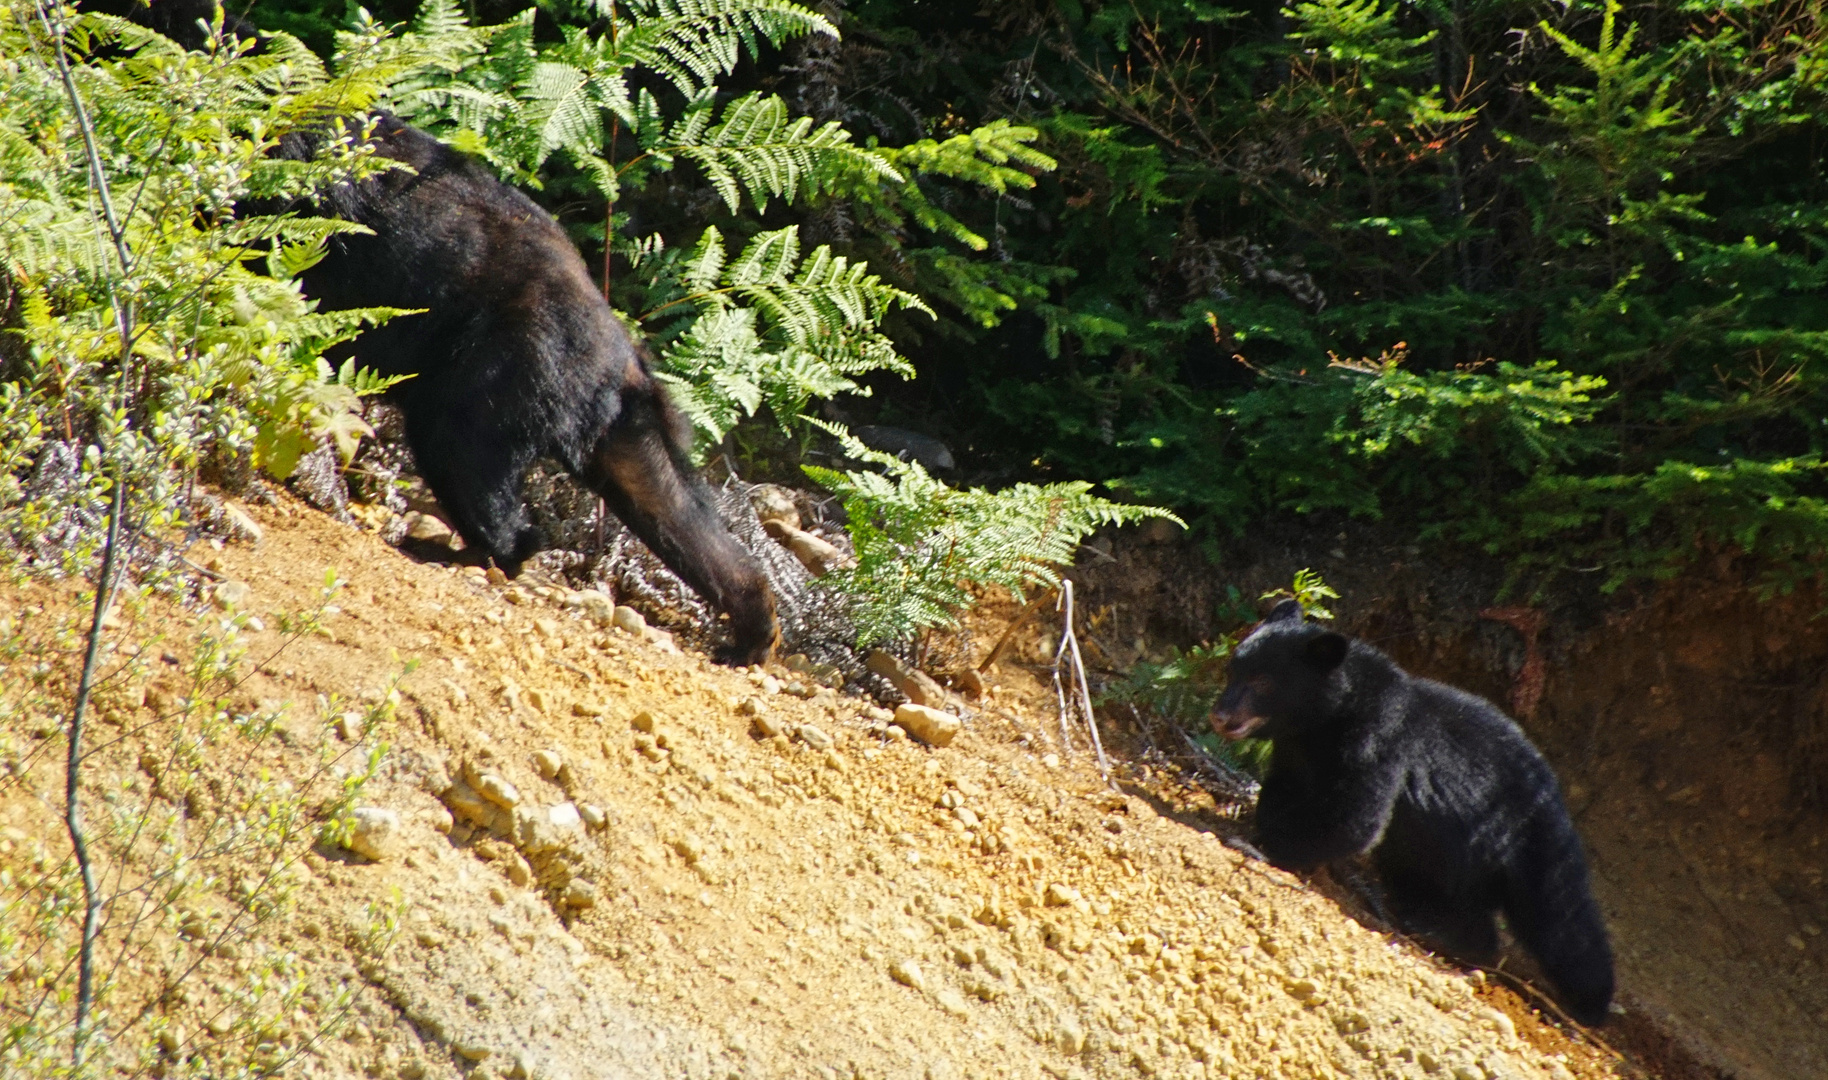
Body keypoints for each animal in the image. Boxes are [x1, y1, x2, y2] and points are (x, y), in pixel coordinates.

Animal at [1213, 603, 1615, 1023]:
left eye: (1262, 681)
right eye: (1233, 669)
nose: (1221, 716)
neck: (1325, 720)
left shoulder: (1377, 740)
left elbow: (1355, 816)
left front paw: (1267, 846)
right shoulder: (1295, 751)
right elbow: (1283, 792)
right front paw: (1262, 826)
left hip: (1523, 841)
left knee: (1561, 920)